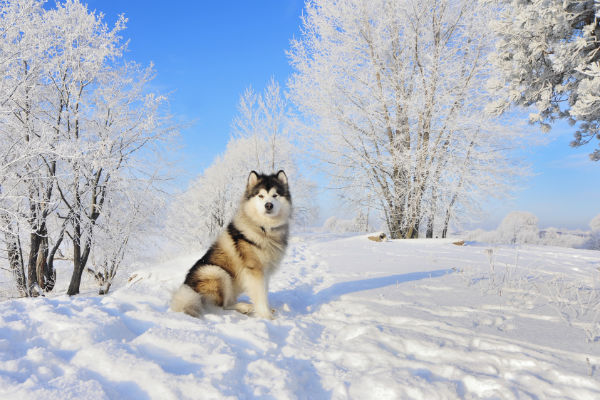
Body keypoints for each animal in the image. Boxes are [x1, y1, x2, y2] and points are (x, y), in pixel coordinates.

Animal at [170, 170, 292, 318]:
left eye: (275, 195)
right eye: (261, 196)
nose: (268, 205)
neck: (264, 228)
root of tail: (188, 290)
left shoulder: (265, 272)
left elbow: (263, 293)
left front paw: (267, 310)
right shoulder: (255, 270)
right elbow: (260, 296)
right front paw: (266, 316)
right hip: (217, 272)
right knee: (221, 307)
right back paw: (244, 307)